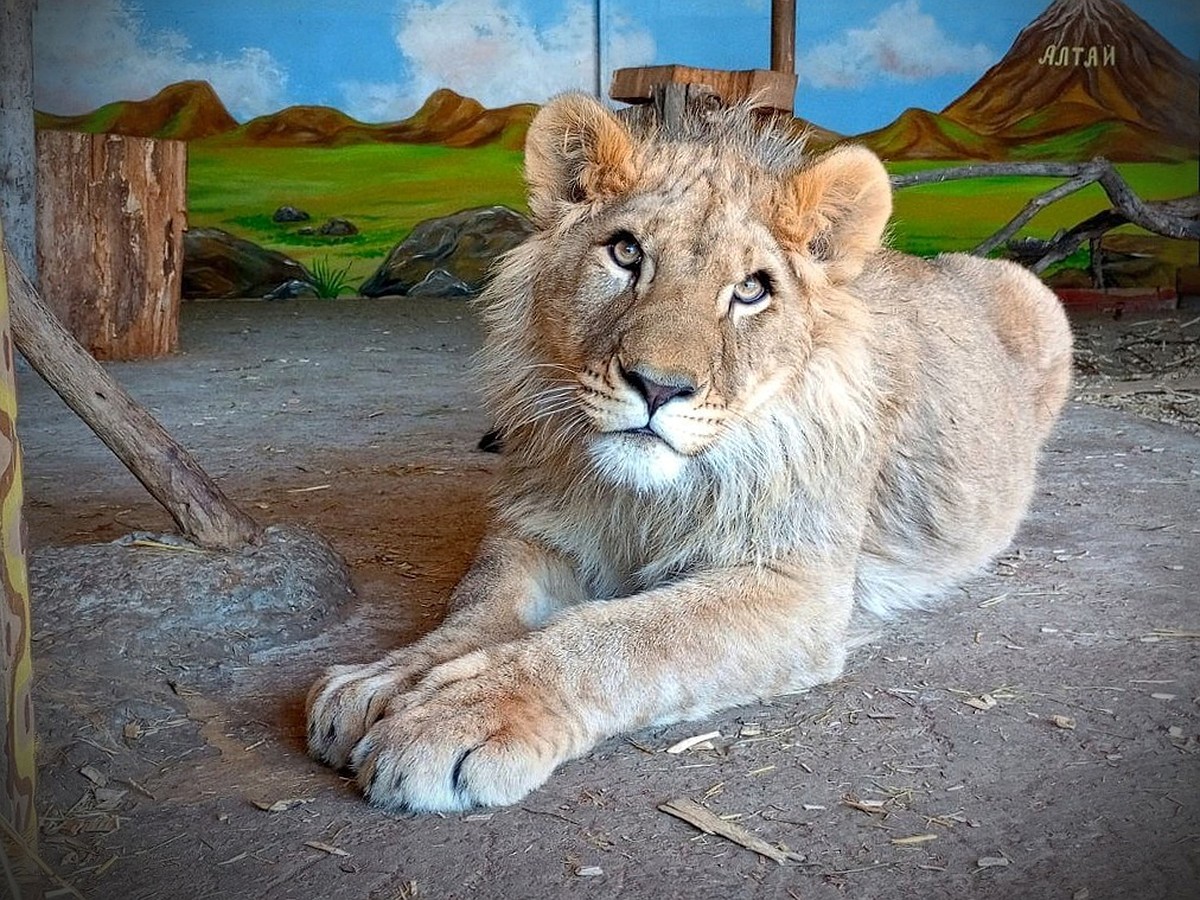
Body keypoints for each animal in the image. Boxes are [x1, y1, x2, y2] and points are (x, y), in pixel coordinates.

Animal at [304, 93, 1075, 816]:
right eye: (626, 254)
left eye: (752, 289)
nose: (658, 386)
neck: (645, 498)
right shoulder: (536, 530)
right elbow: (477, 602)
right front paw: (387, 680)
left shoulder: (797, 584)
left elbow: (622, 637)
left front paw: (459, 714)